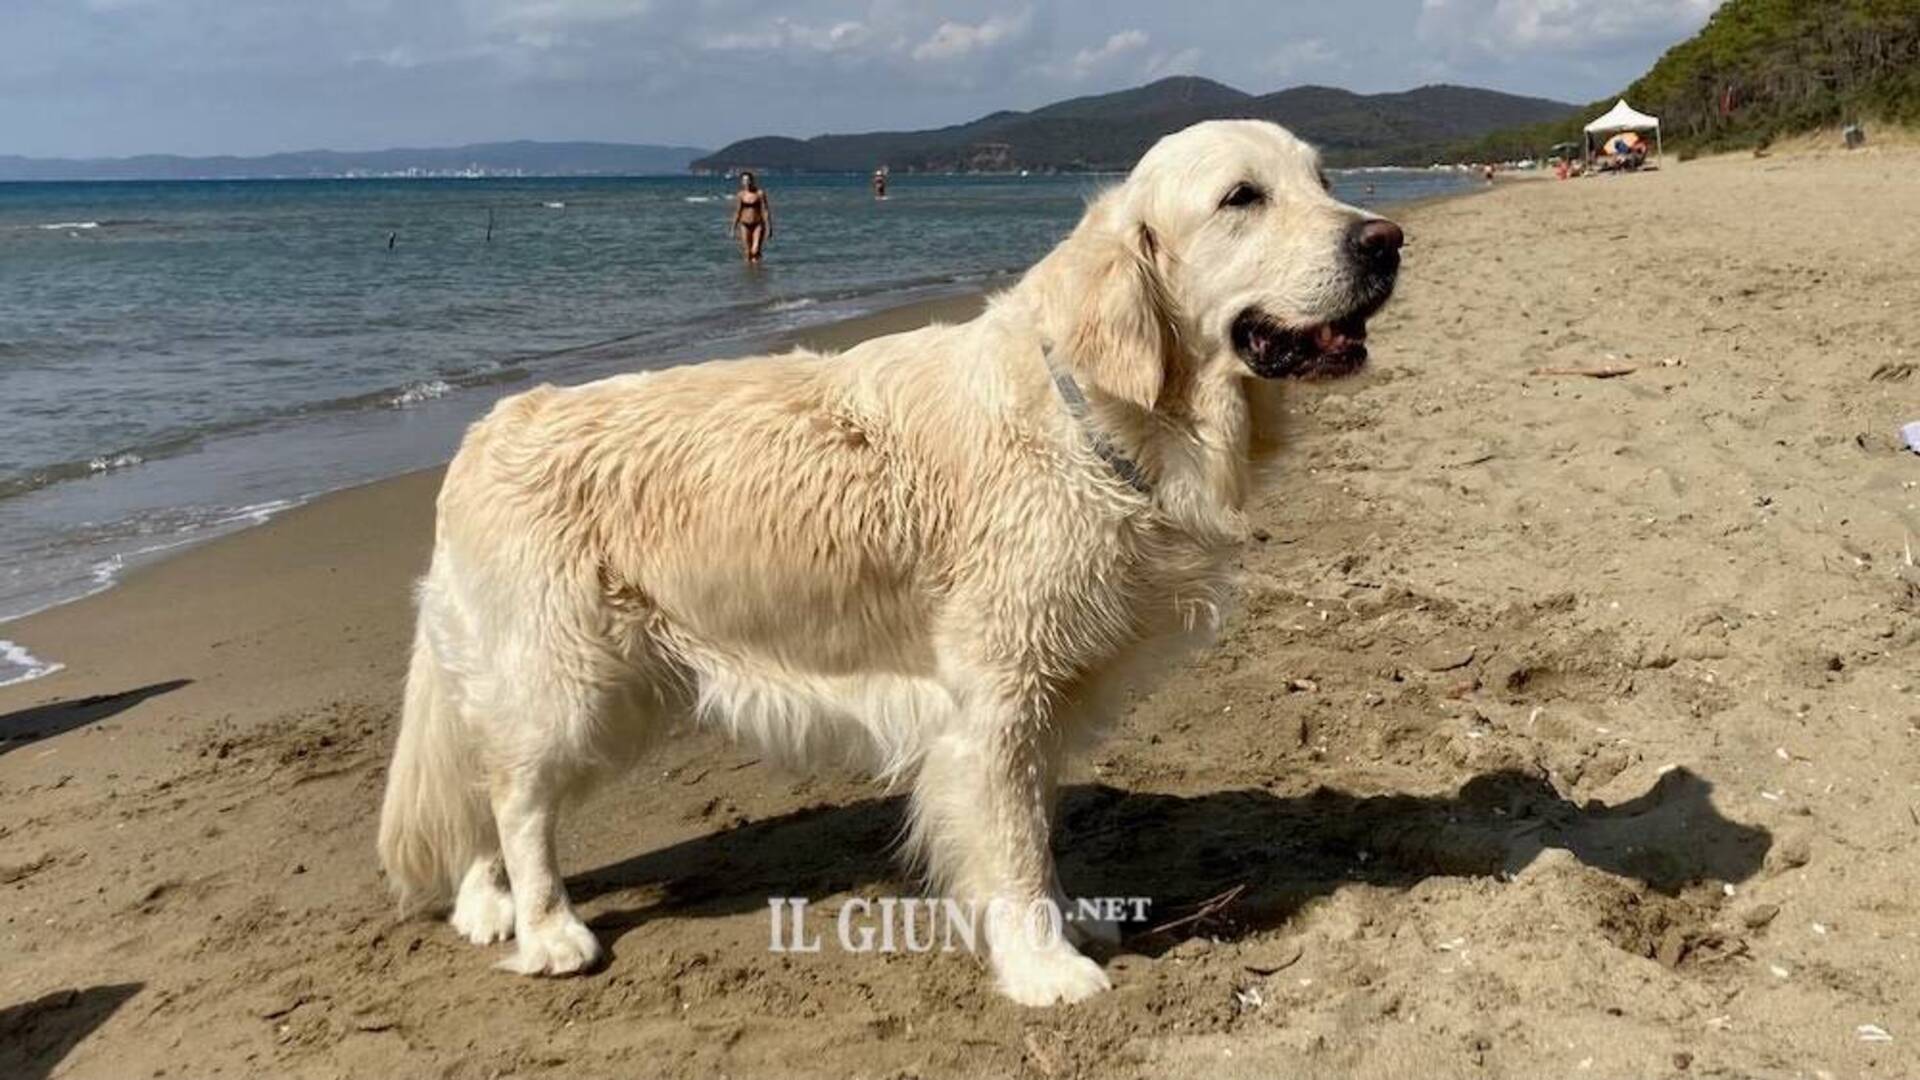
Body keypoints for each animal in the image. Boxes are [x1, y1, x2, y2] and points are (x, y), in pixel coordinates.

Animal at [378, 122, 1397, 1006]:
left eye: (1325, 180)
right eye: (1241, 197)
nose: (1386, 241)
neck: (1094, 416)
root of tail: (485, 428)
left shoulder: (1049, 691)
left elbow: (1037, 824)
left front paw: (1070, 919)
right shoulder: (997, 695)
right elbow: (1012, 841)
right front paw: (1044, 967)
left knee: (481, 781)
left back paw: (486, 904)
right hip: (571, 680)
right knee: (515, 796)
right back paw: (546, 929)